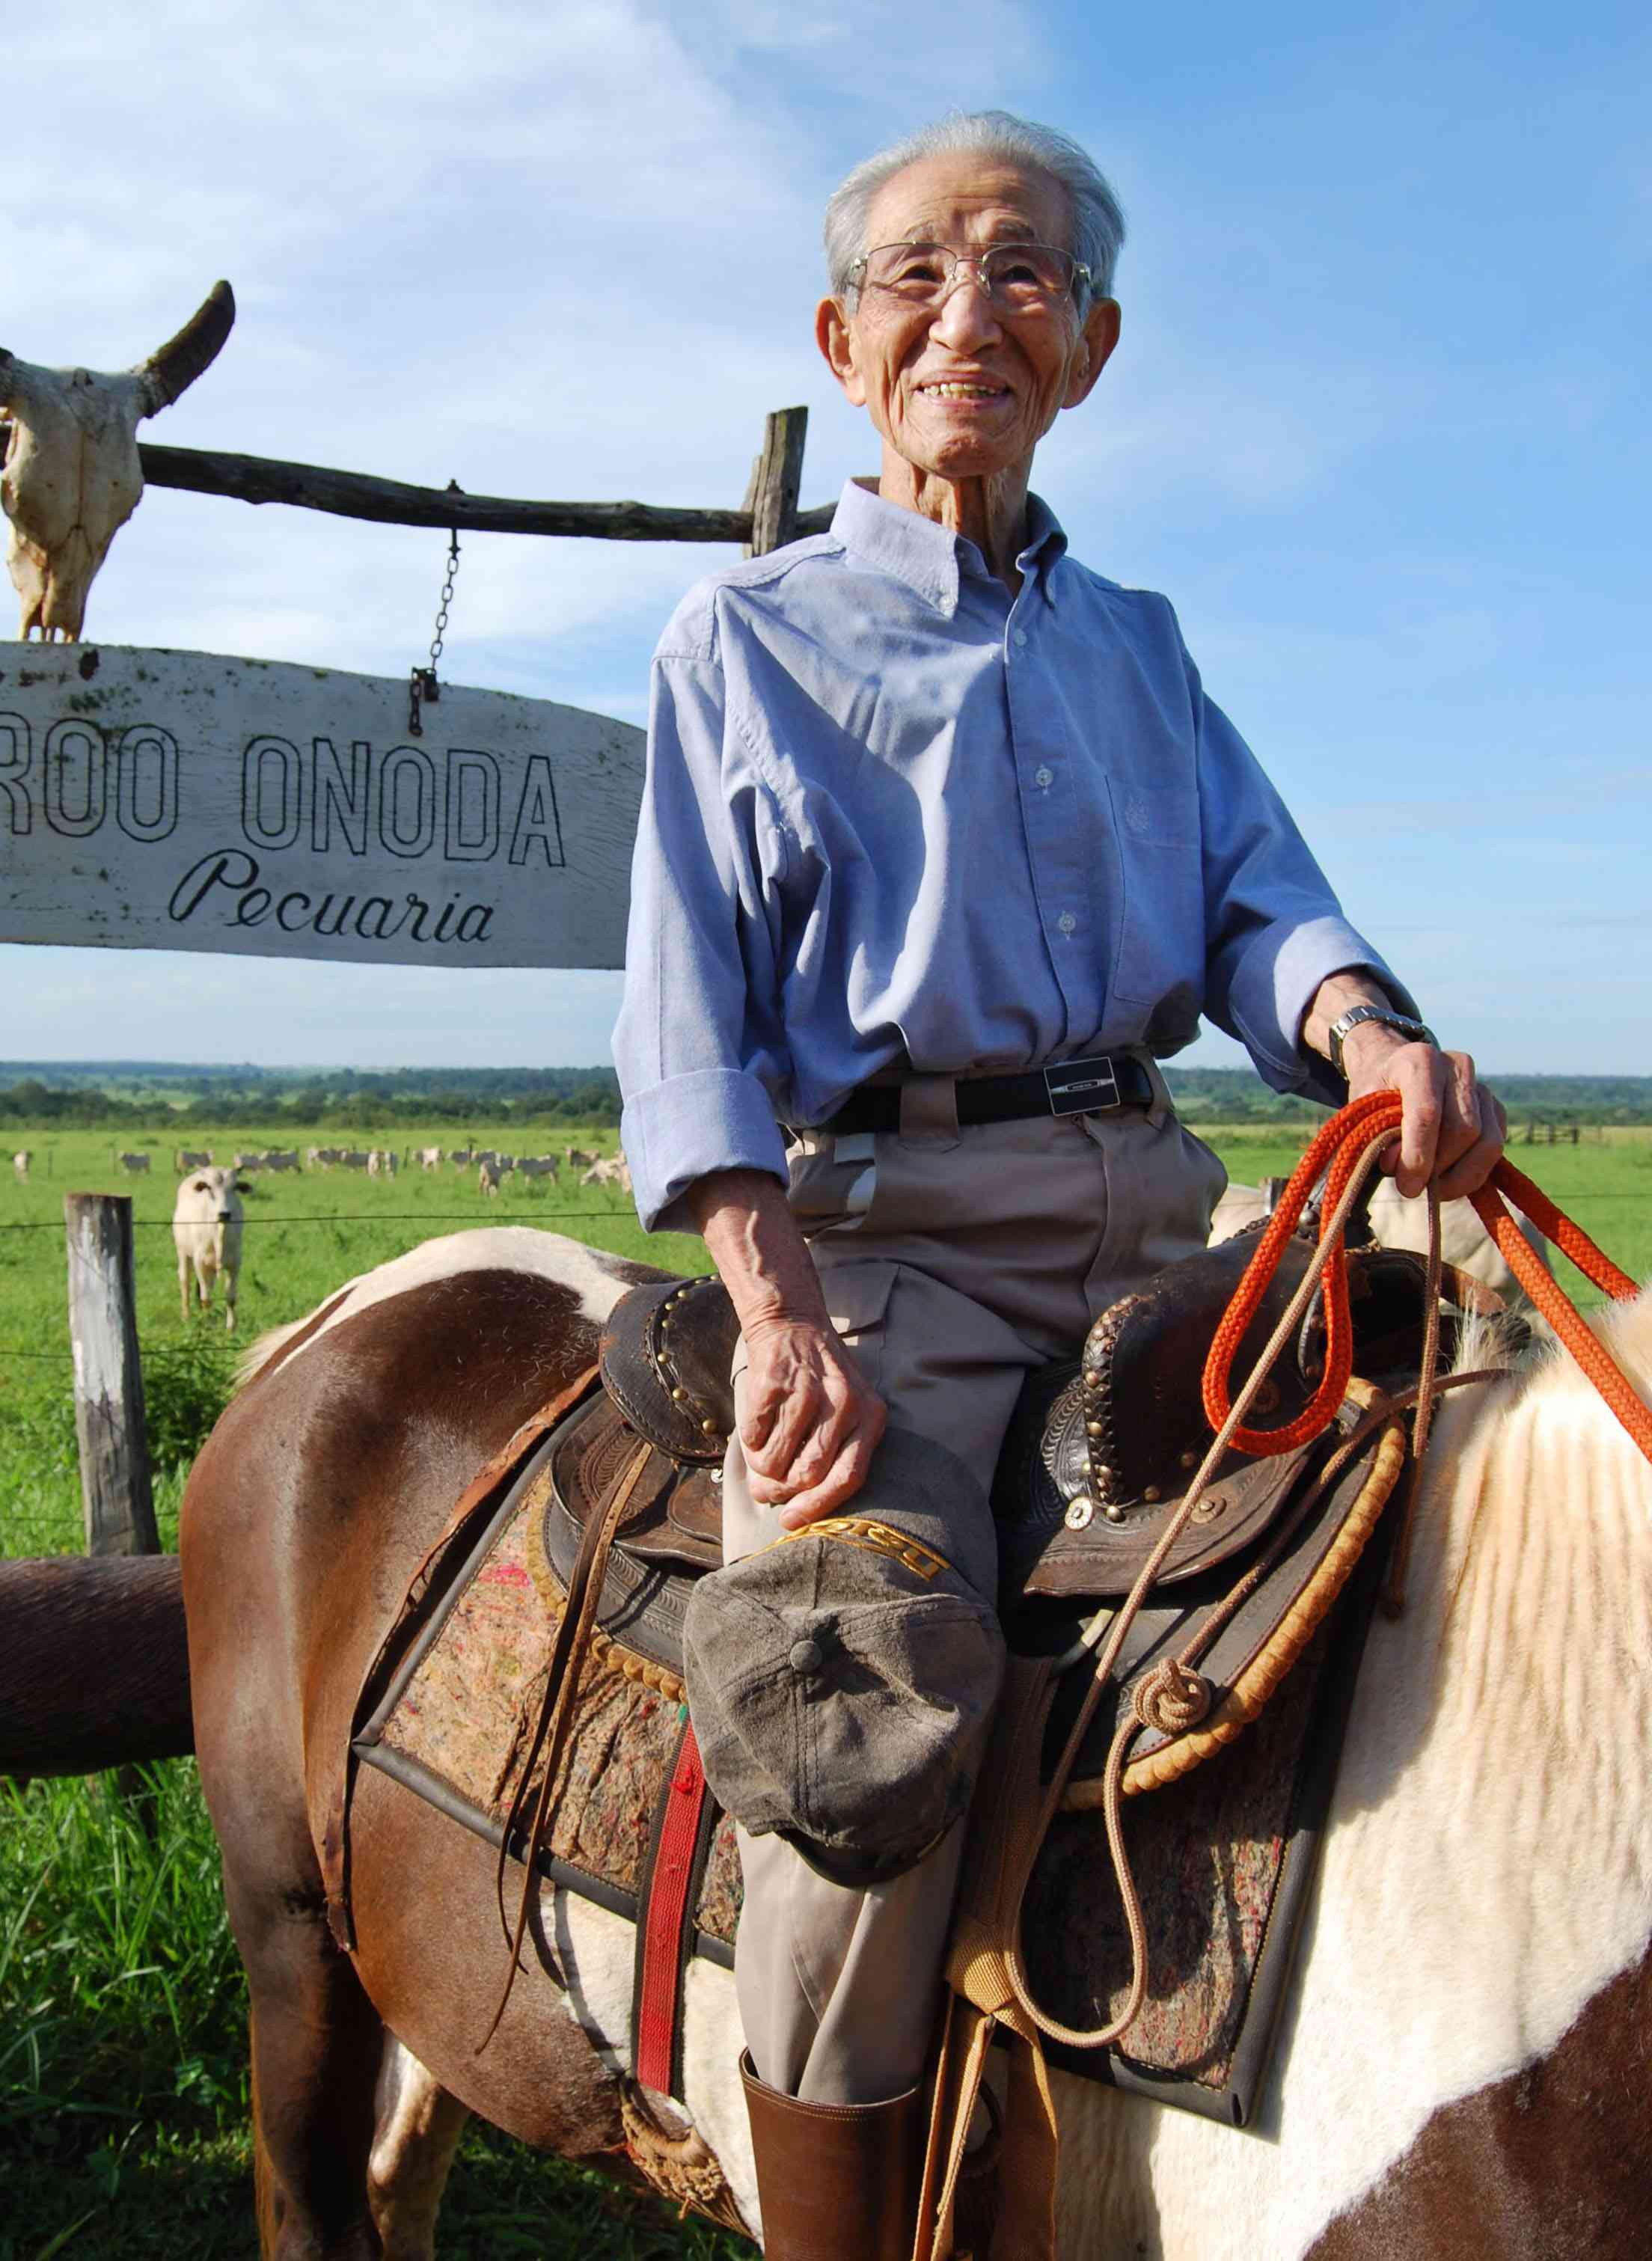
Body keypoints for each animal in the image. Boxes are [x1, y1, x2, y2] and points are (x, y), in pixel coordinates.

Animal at [171, 1166, 248, 1320]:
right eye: (209, 1188)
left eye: (234, 1188)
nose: (224, 1214)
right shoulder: (200, 1262)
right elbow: (205, 1299)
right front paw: (207, 1321)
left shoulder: (235, 1264)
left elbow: (231, 1299)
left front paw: (231, 1325)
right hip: (183, 1252)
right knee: (185, 1281)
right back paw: (186, 1316)